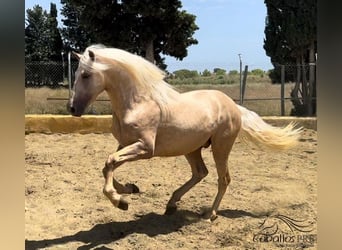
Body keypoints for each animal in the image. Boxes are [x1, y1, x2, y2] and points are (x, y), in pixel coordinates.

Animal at [69, 44, 302, 221]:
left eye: (86, 75)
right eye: (76, 74)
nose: (72, 109)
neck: (137, 103)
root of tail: (233, 106)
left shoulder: (146, 148)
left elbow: (110, 162)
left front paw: (120, 201)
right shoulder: (125, 144)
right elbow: (108, 165)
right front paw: (129, 189)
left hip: (220, 147)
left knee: (223, 179)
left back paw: (210, 214)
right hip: (192, 148)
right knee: (200, 173)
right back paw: (172, 204)